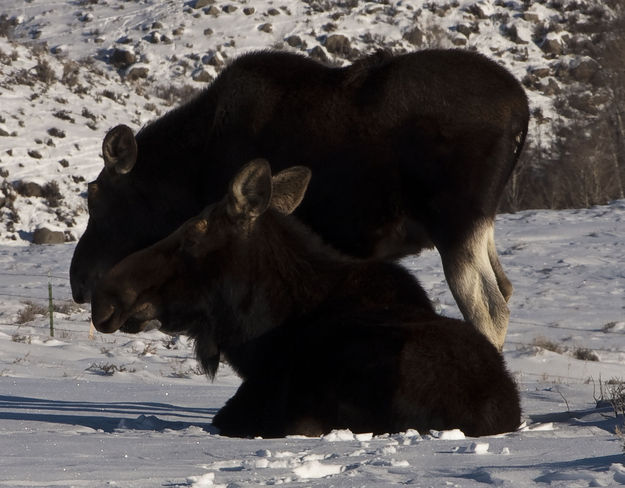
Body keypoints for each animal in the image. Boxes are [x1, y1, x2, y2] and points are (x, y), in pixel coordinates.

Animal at [70, 48, 528, 346]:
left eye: (95, 195)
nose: (79, 281)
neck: (187, 173)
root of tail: (522, 110)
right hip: (479, 225)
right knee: (505, 289)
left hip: (455, 223)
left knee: (489, 309)